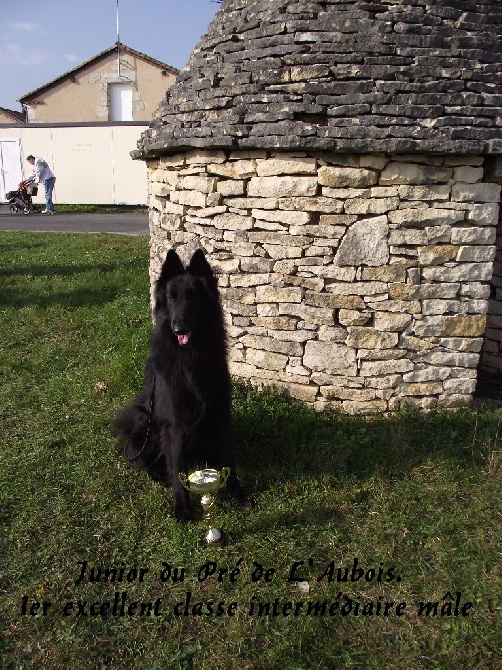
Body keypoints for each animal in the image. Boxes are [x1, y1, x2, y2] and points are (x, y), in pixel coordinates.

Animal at [113, 249, 248, 524]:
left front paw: (236, 493)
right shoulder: (174, 423)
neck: (191, 356)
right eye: (171, 298)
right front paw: (182, 506)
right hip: (146, 423)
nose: (178, 328)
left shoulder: (220, 414)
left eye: (192, 297)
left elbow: (229, 458)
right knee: (151, 462)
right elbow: (177, 467)